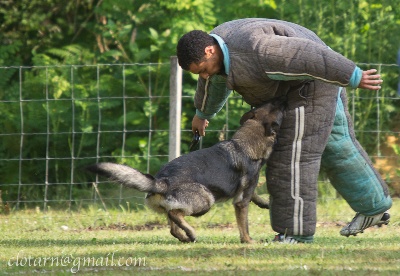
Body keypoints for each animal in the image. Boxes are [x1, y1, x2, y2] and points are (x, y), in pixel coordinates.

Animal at [86, 100, 282, 243]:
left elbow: (254, 194)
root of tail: (161, 182)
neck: (245, 145)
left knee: (172, 223)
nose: (280, 100)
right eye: (277, 109)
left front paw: (264, 202)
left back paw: (185, 237)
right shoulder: (241, 201)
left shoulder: (246, 189)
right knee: (175, 214)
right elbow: (244, 224)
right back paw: (192, 233)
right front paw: (248, 241)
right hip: (206, 200)